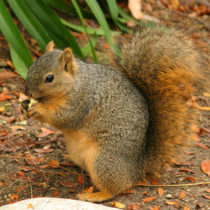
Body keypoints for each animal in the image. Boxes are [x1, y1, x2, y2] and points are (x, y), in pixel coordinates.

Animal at [23, 25, 205, 203]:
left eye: (50, 78)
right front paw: (25, 106)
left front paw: (38, 109)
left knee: (117, 188)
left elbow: (67, 118)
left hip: (104, 161)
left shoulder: (82, 100)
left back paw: (94, 195)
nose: (27, 92)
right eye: (30, 67)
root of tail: (138, 168)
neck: (75, 82)